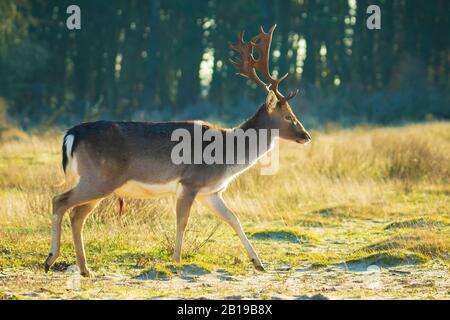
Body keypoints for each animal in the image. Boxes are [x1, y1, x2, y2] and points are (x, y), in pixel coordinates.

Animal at [44, 24, 312, 278]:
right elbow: (182, 222)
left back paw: (84, 269)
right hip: (99, 178)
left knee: (76, 215)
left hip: (100, 183)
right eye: (289, 116)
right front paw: (176, 262)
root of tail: (72, 134)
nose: (306, 136)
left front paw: (259, 263)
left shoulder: (210, 192)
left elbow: (234, 219)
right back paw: (51, 259)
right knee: (60, 201)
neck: (228, 156)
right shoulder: (190, 182)